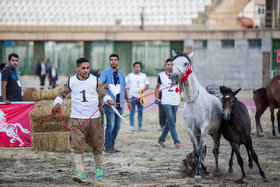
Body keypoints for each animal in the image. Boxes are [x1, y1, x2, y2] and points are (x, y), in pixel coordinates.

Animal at [170, 50, 222, 182]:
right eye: (172, 63)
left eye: (185, 63)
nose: (174, 76)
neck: (194, 101)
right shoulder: (191, 130)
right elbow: (196, 151)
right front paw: (204, 171)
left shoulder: (204, 128)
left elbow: (200, 149)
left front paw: (199, 174)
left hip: (216, 133)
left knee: (216, 151)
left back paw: (218, 171)